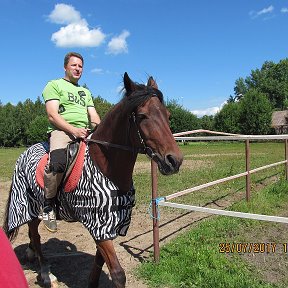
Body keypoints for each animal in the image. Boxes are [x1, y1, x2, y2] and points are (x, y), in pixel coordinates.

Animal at [1, 71, 182, 286]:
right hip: (29, 206)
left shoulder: (109, 225)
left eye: (167, 115)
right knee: (36, 236)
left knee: (33, 234)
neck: (106, 167)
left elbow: (99, 261)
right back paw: (46, 273)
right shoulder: (98, 224)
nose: (174, 160)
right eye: (142, 116)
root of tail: (25, 152)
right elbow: (118, 273)